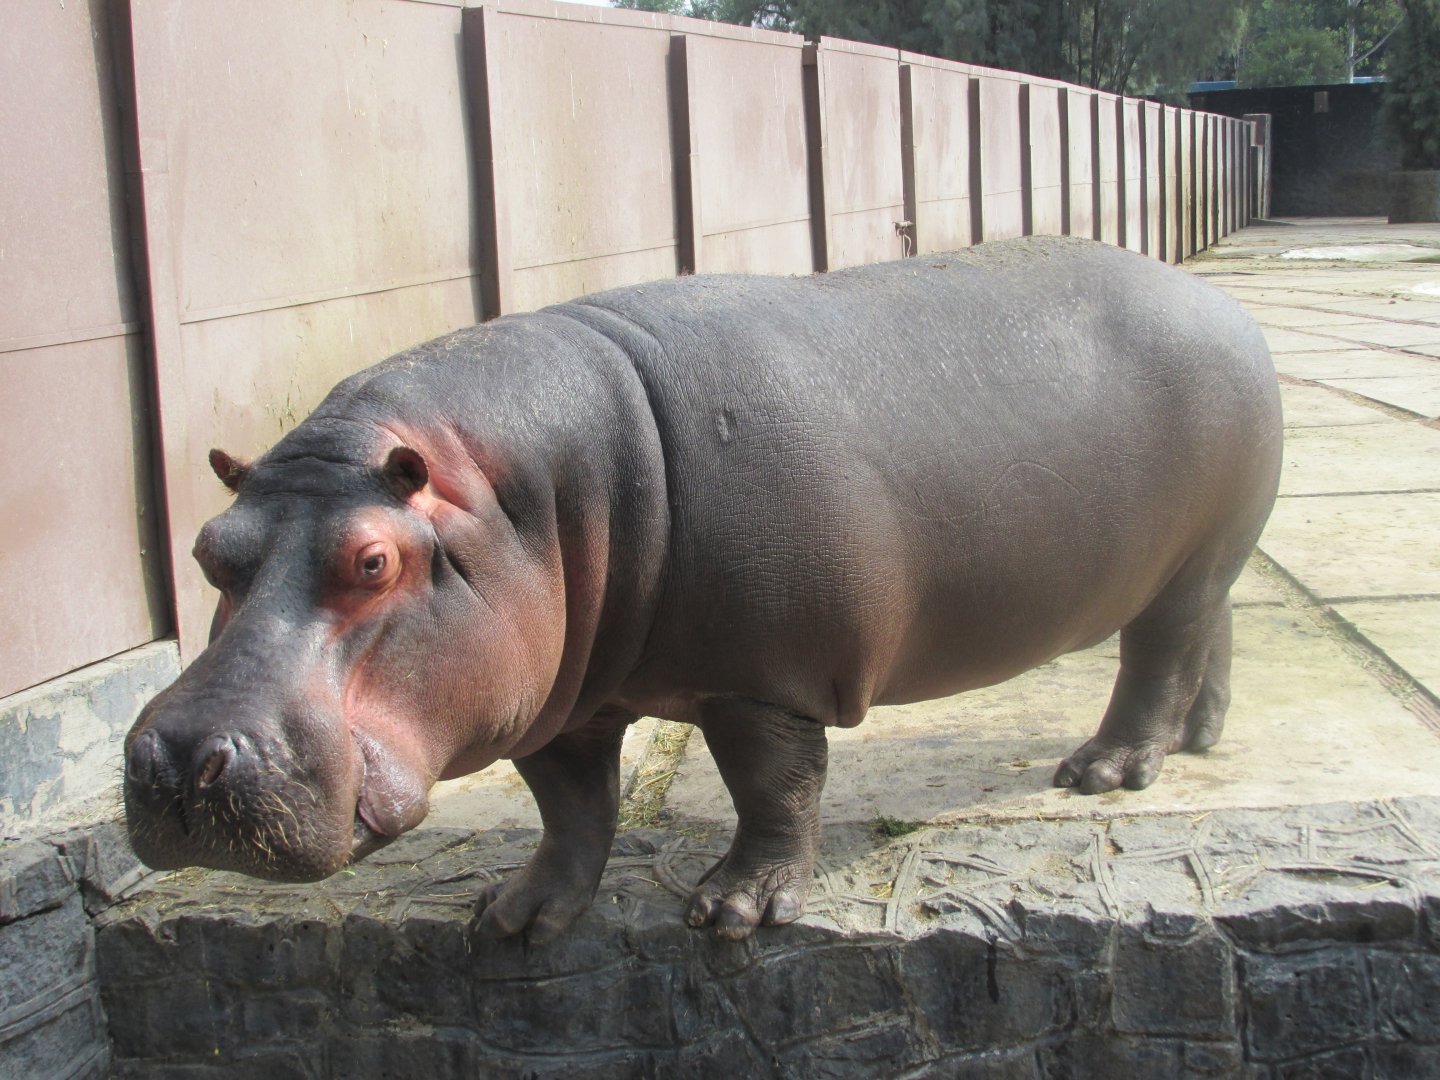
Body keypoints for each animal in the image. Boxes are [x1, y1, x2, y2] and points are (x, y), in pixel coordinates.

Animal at [124, 236, 1282, 942]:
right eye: (209, 550)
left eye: (373, 560)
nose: (174, 757)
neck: (528, 491)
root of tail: (1224, 302)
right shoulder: (556, 699)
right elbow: (570, 811)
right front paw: (514, 918)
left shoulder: (759, 676)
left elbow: (775, 788)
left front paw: (734, 913)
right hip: (1201, 562)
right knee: (1211, 632)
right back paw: (1204, 738)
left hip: (1182, 568)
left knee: (1157, 657)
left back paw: (1104, 772)